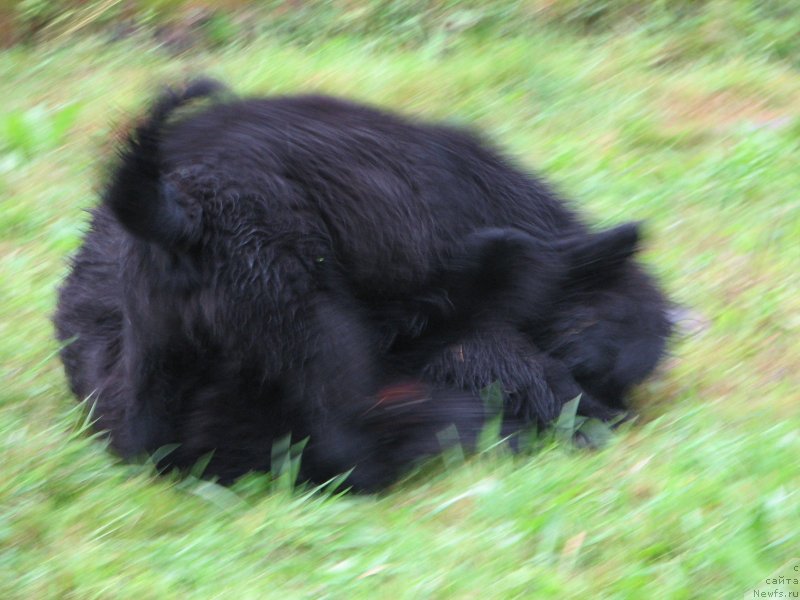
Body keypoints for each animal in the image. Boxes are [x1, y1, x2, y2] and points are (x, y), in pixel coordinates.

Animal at [53, 79, 672, 492]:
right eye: (593, 325)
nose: (614, 407)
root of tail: (179, 218)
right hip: (319, 334)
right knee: (349, 445)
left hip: (155, 357)